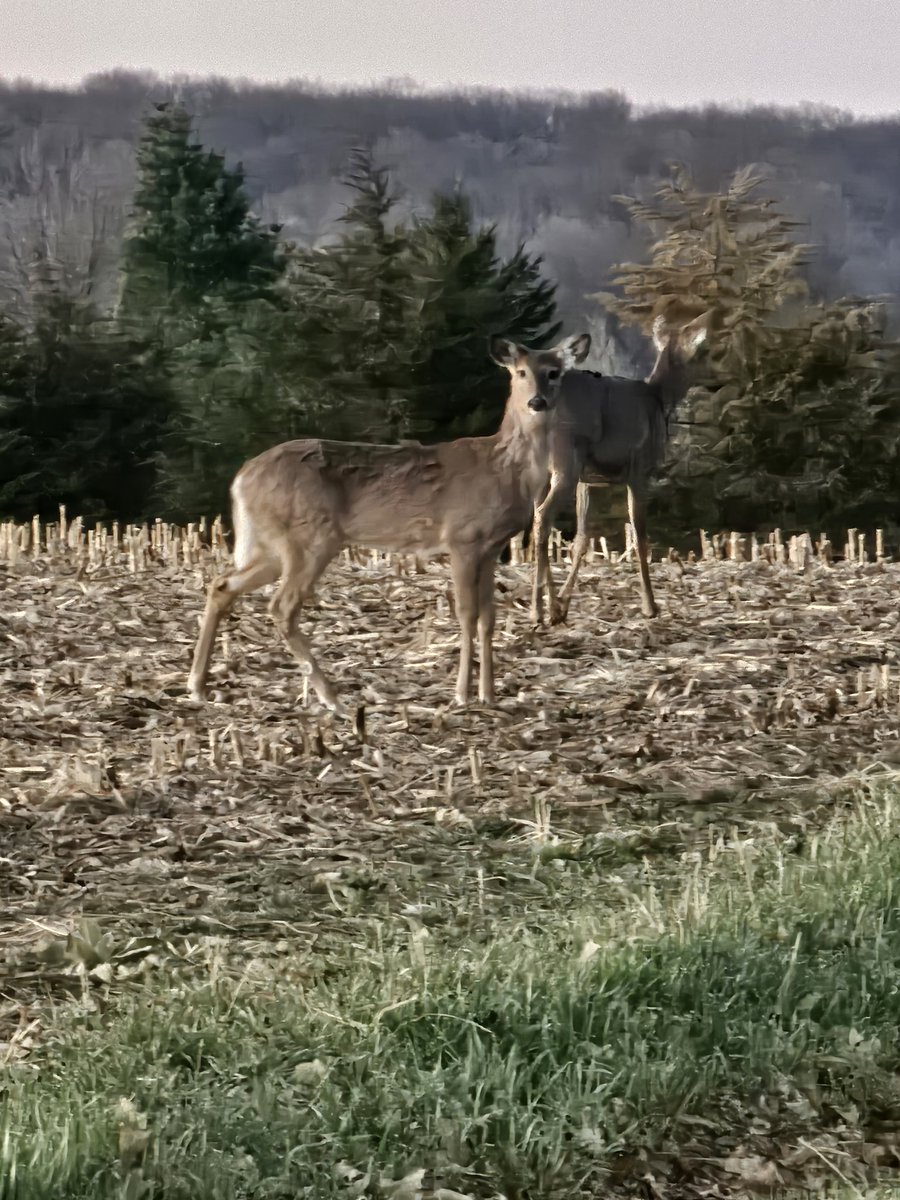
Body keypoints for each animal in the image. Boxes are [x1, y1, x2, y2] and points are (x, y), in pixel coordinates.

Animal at [187, 333, 592, 705]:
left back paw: (198, 685)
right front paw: (462, 694)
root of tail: (241, 478)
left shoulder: (492, 546)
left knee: (222, 585)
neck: (504, 466)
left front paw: (488, 694)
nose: (537, 401)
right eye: (521, 371)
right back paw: (330, 696)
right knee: (281, 606)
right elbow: (465, 613)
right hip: (310, 536)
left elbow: (488, 617)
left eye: (554, 372)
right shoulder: (461, 538)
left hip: (273, 545)